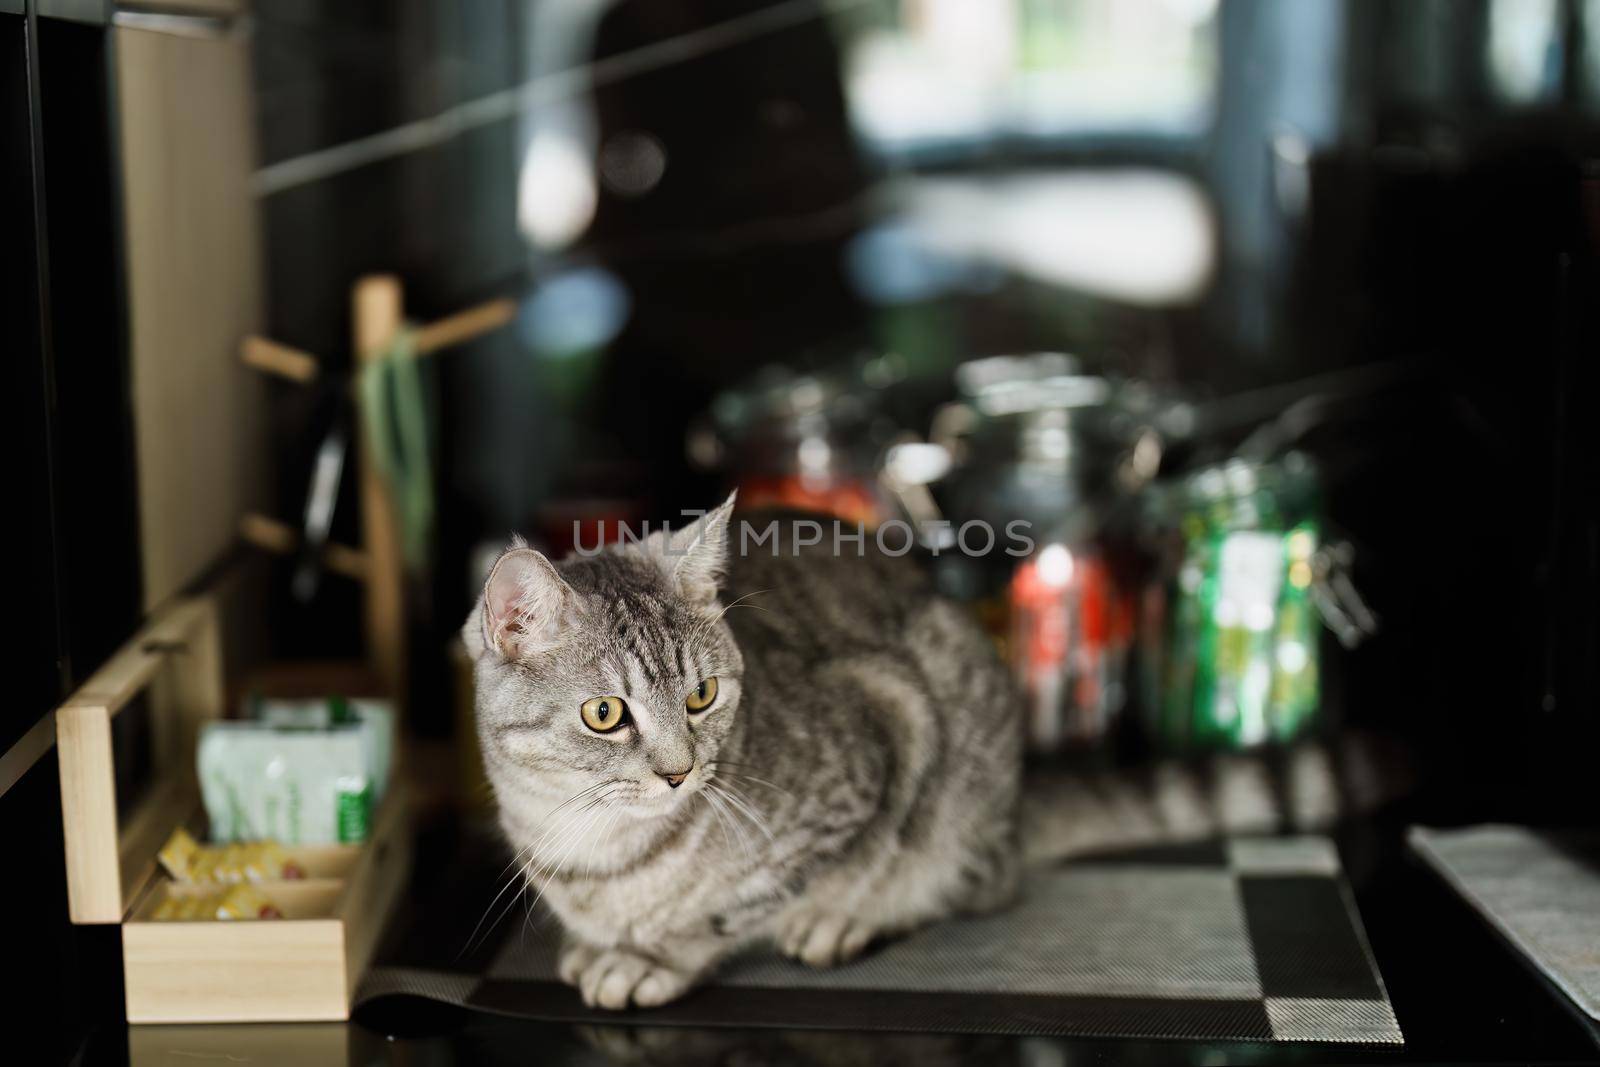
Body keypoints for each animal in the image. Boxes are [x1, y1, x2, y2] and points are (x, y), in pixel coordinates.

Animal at [464, 492, 1017, 1011]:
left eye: (701, 694)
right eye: (604, 713)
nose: (679, 773)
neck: (594, 846)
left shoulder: (885, 733)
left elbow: (726, 914)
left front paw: (649, 958)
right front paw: (597, 944)